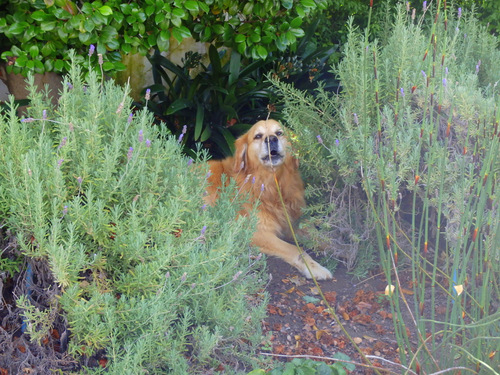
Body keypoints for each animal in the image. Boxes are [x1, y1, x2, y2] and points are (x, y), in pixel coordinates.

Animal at [205, 119, 334, 280]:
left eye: (279, 133)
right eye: (258, 136)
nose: (271, 139)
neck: (272, 187)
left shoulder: (291, 223)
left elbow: (321, 237)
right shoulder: (257, 232)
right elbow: (295, 249)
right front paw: (315, 268)